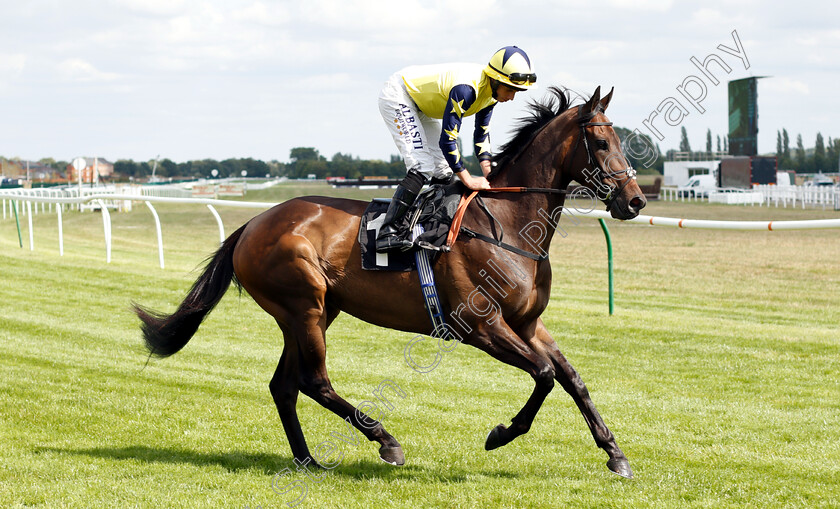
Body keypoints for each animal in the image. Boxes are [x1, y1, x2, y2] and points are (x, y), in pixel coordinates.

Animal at [135, 85, 648, 478]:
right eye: (603, 143)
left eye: (622, 140)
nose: (635, 200)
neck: (506, 223)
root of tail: (253, 224)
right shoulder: (482, 327)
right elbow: (543, 375)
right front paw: (500, 434)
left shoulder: (527, 323)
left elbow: (572, 378)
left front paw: (615, 454)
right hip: (305, 306)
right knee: (314, 380)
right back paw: (385, 440)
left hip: (312, 312)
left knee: (284, 385)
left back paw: (307, 460)